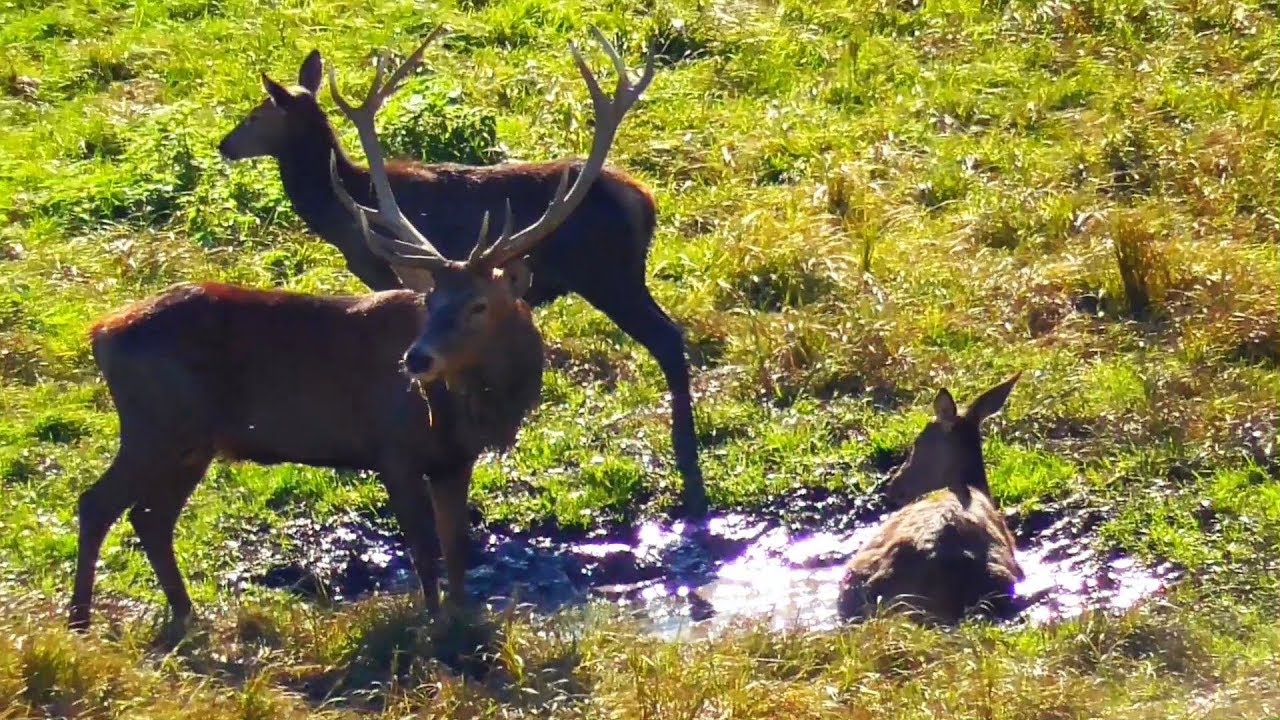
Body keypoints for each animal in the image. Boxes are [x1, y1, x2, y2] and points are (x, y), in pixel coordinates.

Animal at [68, 28, 653, 631]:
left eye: (478, 305)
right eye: (430, 299)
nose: (415, 360)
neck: (473, 410)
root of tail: (102, 333)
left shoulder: (453, 463)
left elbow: (457, 553)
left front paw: (462, 619)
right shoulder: (392, 450)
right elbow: (424, 556)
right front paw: (433, 629)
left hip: (190, 439)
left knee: (148, 516)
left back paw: (184, 615)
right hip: (156, 424)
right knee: (99, 504)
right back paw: (82, 620)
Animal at [217, 30, 708, 519]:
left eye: (257, 112)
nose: (224, 145)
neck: (344, 209)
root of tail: (646, 200)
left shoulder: (389, 277)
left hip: (610, 277)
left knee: (668, 338)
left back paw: (688, 459)